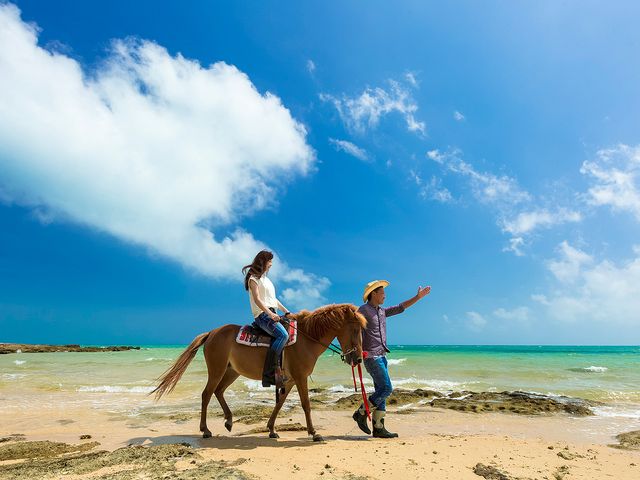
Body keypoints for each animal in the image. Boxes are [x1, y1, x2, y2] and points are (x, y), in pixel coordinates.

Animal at [151, 304, 368, 442]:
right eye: (355, 329)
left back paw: (229, 420)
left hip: (232, 372)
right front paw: (314, 433)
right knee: (206, 394)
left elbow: (279, 404)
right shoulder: (300, 378)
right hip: (217, 370)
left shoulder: (289, 381)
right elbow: (306, 405)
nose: (358, 359)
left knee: (218, 391)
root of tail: (212, 332)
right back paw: (205, 430)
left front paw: (271, 429)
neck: (306, 339)